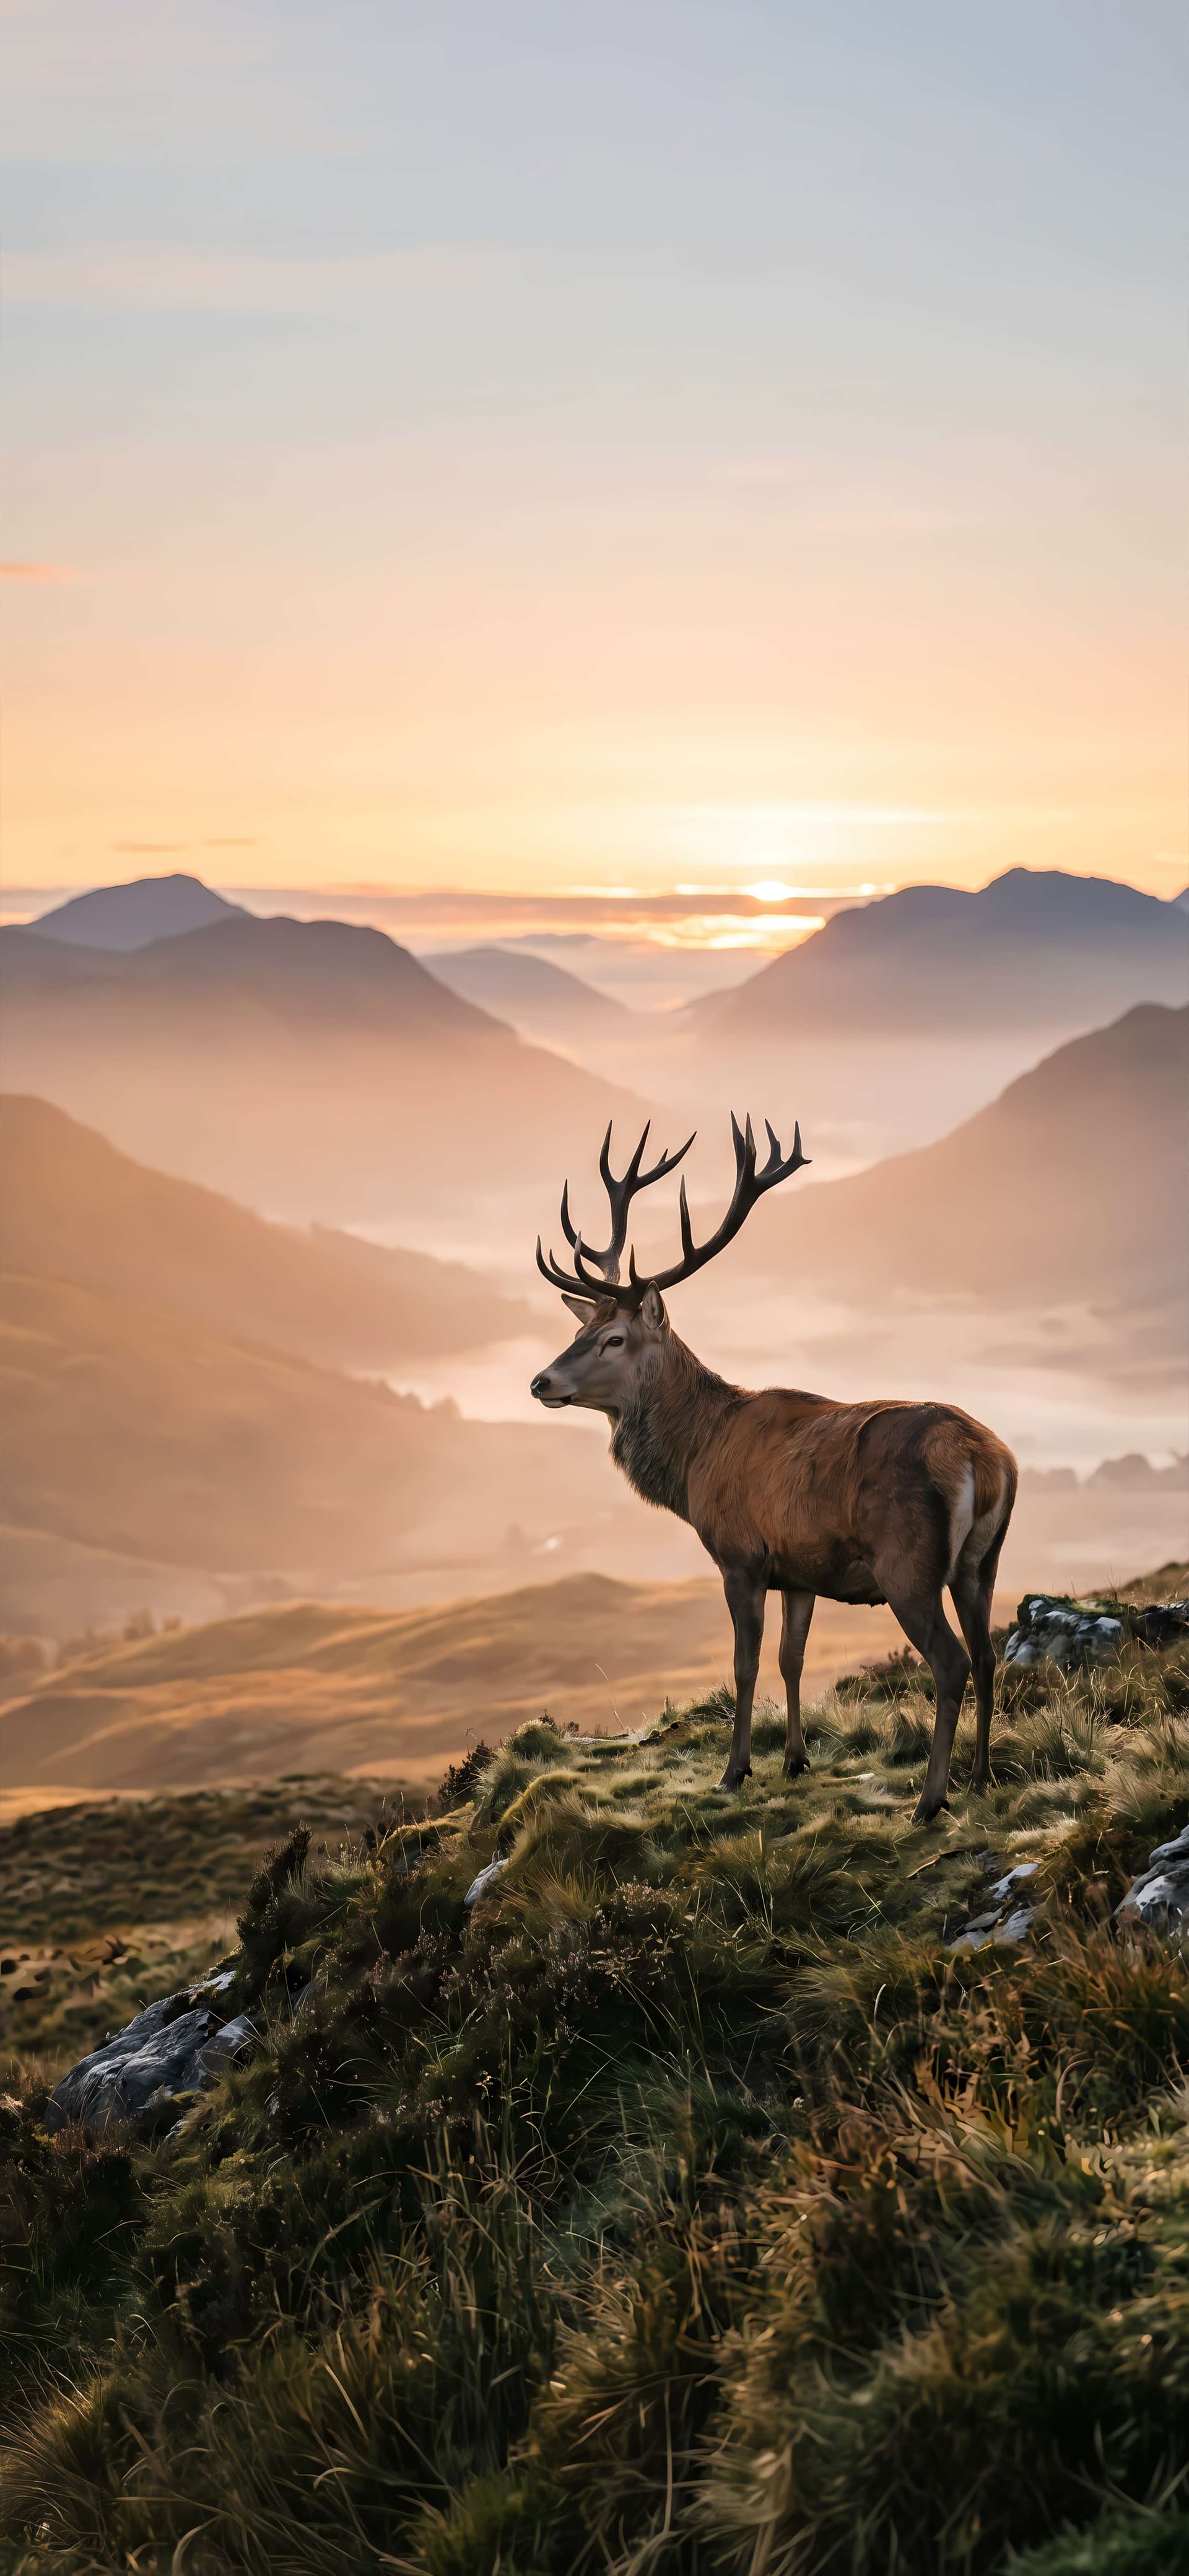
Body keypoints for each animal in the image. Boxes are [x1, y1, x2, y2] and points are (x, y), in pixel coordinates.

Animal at [530, 1119, 1016, 1821]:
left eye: (613, 1339)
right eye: (579, 1330)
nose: (541, 1381)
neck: (696, 1460)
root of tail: (986, 1457)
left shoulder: (742, 1555)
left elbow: (746, 1664)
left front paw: (735, 1770)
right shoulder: (800, 1569)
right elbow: (793, 1659)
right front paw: (793, 1759)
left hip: (909, 1563)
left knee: (951, 1662)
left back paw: (929, 1800)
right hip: (982, 1561)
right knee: (987, 1655)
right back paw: (978, 1778)